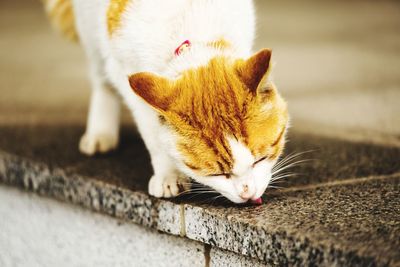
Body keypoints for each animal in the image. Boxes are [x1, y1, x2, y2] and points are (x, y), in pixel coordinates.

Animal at [43, 0, 290, 204]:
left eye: (261, 159)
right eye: (217, 173)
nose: (248, 193)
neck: (194, 31)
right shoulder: (123, 70)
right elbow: (154, 134)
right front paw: (168, 174)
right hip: (90, 30)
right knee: (100, 77)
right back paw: (100, 133)